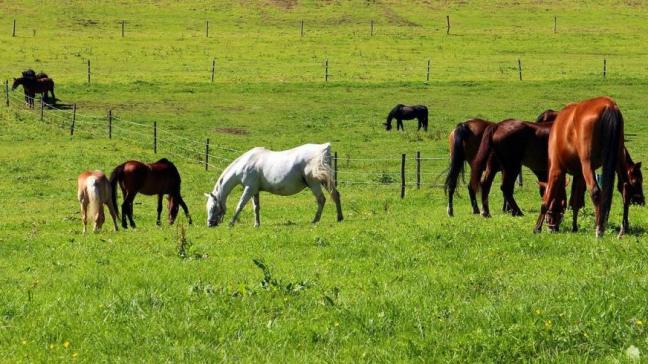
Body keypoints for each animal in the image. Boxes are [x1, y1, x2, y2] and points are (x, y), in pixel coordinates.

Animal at [206, 143, 344, 226]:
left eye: (212, 207)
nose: (210, 224)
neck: (246, 163)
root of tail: (323, 148)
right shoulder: (255, 190)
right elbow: (256, 207)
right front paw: (257, 224)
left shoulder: (249, 189)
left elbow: (240, 205)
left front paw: (231, 223)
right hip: (325, 182)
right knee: (335, 195)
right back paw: (339, 218)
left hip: (314, 183)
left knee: (321, 199)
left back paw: (315, 220)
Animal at [536, 96, 632, 237]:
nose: (552, 228)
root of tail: (609, 105)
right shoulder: (579, 174)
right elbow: (575, 201)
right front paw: (574, 227)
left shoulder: (556, 170)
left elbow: (546, 200)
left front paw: (537, 227)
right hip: (619, 157)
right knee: (626, 188)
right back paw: (623, 228)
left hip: (588, 163)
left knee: (596, 192)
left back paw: (599, 229)